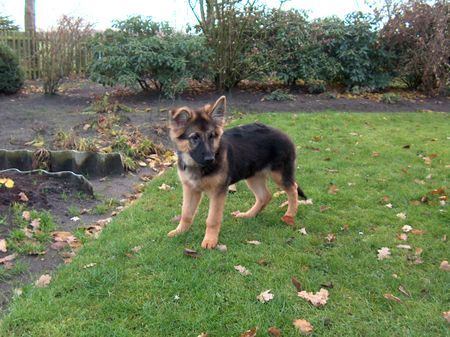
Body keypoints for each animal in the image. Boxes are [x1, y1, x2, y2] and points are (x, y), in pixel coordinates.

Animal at [168, 96, 306, 248]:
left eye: (212, 136)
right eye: (195, 137)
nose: (210, 159)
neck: (197, 165)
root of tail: (285, 135)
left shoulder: (218, 192)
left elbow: (212, 219)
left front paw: (210, 240)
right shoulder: (190, 189)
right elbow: (186, 213)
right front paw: (179, 231)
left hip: (279, 175)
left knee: (292, 189)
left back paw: (290, 215)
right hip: (253, 176)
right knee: (265, 196)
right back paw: (249, 215)